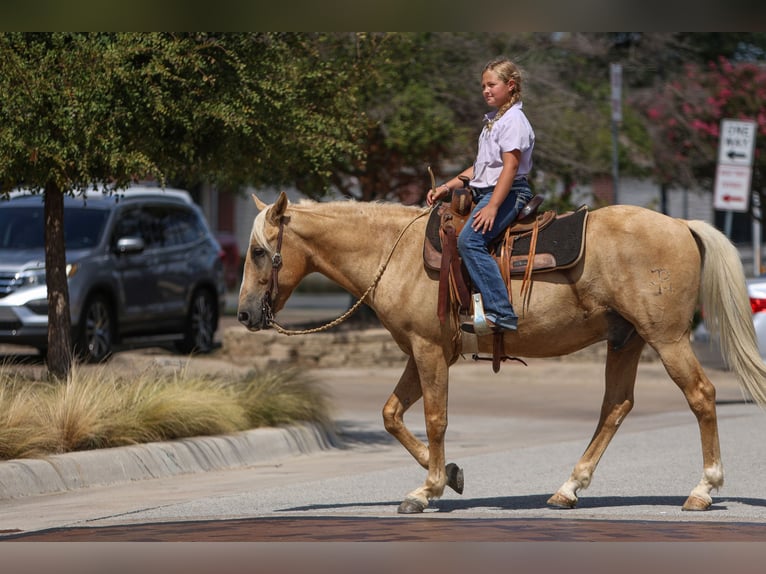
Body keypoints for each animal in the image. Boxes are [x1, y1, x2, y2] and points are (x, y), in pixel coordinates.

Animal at [237, 191, 766, 516]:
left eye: (260, 252)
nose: (243, 314)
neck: (397, 253)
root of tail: (682, 225)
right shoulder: (420, 351)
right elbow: (391, 414)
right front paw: (449, 475)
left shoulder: (430, 351)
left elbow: (435, 418)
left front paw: (427, 489)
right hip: (626, 340)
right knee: (615, 407)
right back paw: (568, 489)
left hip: (667, 338)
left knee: (701, 395)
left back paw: (703, 490)